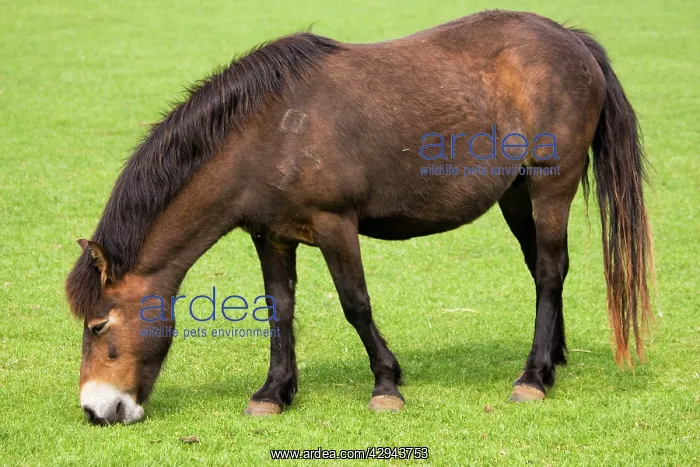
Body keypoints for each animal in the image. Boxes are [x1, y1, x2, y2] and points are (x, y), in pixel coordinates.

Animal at [66, 10, 654, 425]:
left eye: (98, 325)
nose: (96, 410)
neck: (268, 131)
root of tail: (571, 39)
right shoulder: (270, 236)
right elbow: (278, 309)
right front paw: (274, 392)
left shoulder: (335, 225)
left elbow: (356, 305)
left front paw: (386, 385)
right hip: (517, 193)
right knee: (543, 272)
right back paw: (551, 362)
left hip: (551, 185)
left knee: (550, 273)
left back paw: (532, 377)